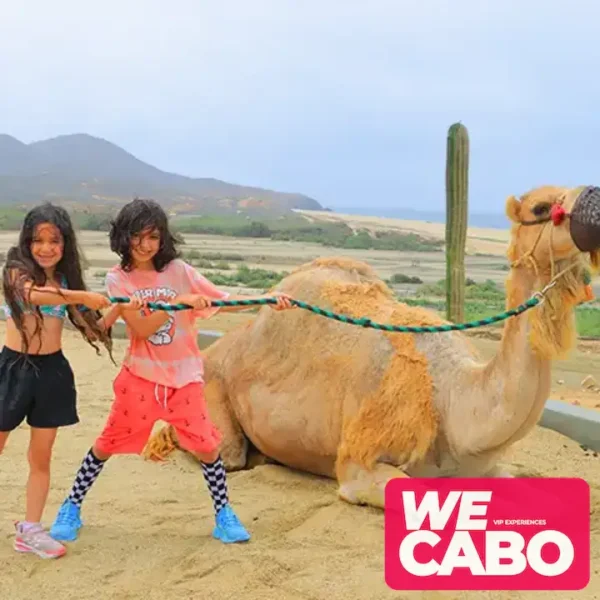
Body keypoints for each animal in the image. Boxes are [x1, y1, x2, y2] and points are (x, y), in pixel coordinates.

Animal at [144, 185, 600, 508]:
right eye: (541, 208)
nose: (591, 202)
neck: (453, 398)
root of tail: (215, 349)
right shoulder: (359, 461)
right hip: (211, 388)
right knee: (223, 449)